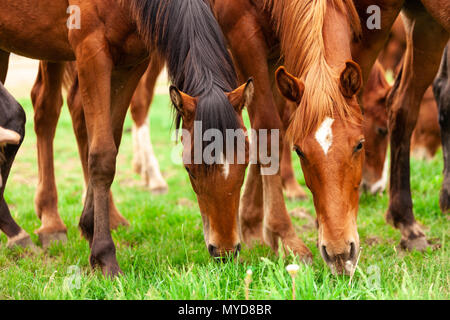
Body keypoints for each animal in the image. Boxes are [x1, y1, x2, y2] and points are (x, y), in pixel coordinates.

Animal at [0, 0, 253, 276]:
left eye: (246, 164)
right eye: (190, 169)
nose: (225, 251)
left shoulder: (131, 64)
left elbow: (110, 140)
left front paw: (89, 227)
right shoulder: (91, 50)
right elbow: (102, 155)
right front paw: (105, 256)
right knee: (45, 108)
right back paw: (40, 226)